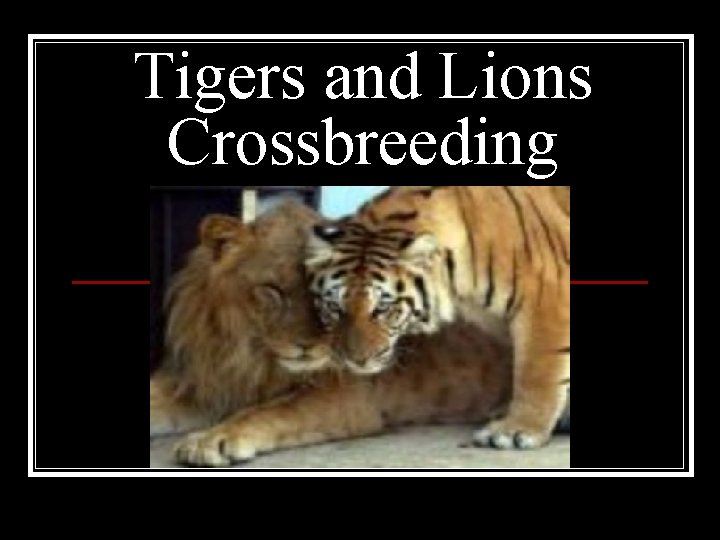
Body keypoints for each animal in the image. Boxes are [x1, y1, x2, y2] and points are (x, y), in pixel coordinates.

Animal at [151, 201, 513, 467]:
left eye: (330, 294)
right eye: (272, 290)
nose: (308, 346)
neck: (249, 355)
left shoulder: (347, 397)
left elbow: (270, 412)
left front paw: (212, 439)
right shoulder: (205, 380)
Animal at [305, 186, 570, 450]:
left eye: (382, 307)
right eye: (335, 307)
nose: (357, 361)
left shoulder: (545, 297)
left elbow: (536, 373)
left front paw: (517, 429)